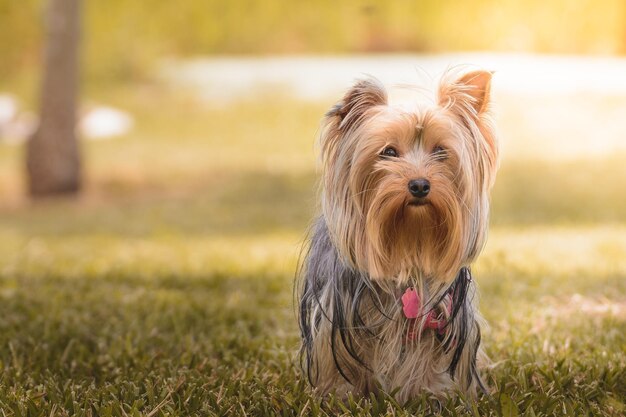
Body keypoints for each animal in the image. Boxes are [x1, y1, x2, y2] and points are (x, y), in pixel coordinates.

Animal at [298, 70, 498, 402]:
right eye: (389, 152)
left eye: (441, 151)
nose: (419, 184)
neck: (408, 245)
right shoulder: (338, 314)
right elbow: (343, 359)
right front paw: (345, 395)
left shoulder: (439, 315)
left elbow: (427, 359)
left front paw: (428, 394)